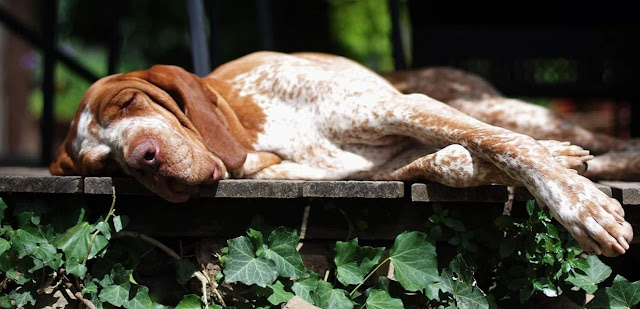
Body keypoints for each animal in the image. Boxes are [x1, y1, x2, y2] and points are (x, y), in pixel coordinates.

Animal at [50, 52, 632, 255]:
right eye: (106, 165)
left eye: (129, 102)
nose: (143, 157)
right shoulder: (386, 166)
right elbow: (453, 159)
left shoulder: (404, 107)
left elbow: (505, 144)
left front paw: (584, 206)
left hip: (506, 105)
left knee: (612, 143)